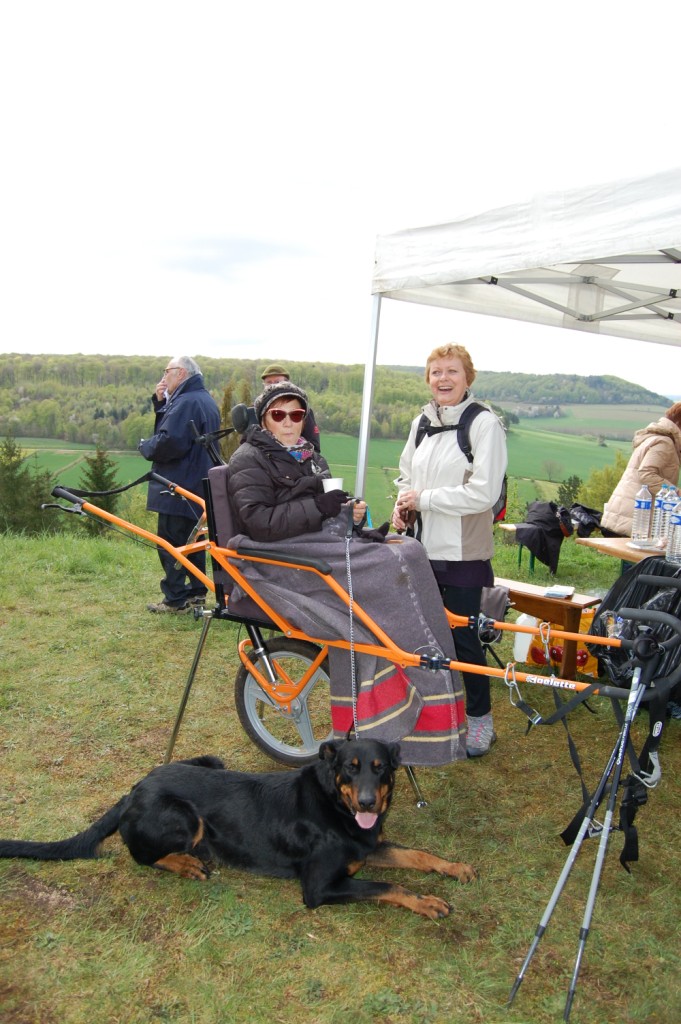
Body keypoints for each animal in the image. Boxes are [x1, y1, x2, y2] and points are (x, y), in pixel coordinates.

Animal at [0, 741, 473, 917]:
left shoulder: (367, 844)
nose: (369, 803)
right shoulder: (319, 888)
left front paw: (455, 868)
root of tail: (134, 789)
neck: (335, 805)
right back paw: (187, 864)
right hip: (185, 818)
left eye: (380, 769)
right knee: (141, 855)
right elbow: (388, 885)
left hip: (210, 760)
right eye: (350, 769)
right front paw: (427, 902)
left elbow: (416, 854)